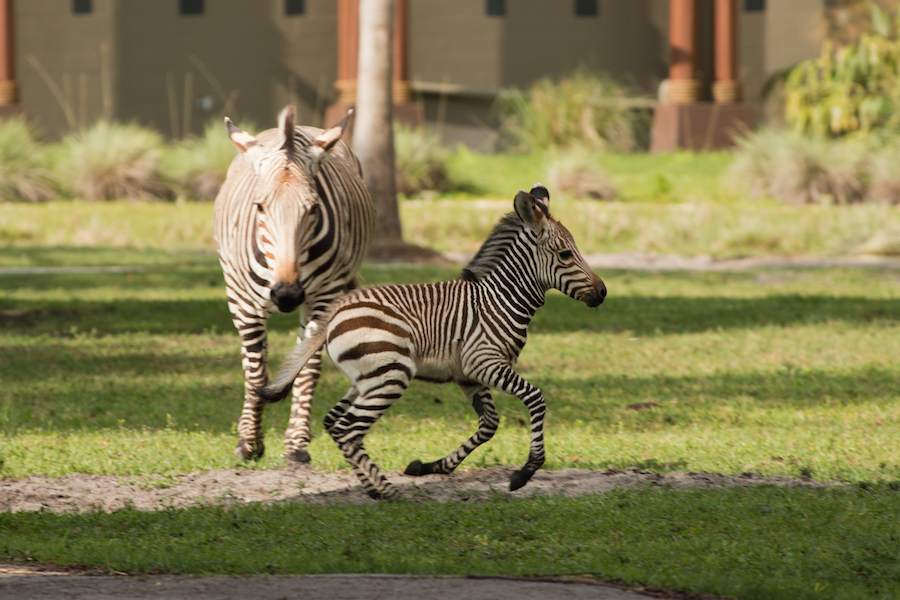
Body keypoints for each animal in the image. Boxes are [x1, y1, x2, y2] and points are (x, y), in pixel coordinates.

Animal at [214, 105, 372, 464]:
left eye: (313, 208)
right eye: (259, 206)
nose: (287, 295)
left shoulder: (324, 298)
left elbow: (308, 368)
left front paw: (297, 444)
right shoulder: (243, 304)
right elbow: (255, 373)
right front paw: (249, 442)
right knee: (249, 361)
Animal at [258, 185, 604, 500]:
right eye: (565, 254)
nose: (602, 292)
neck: (499, 300)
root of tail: (336, 310)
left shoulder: (469, 375)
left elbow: (489, 424)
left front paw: (430, 467)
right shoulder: (485, 363)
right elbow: (535, 398)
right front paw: (525, 472)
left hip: (367, 378)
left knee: (334, 422)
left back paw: (373, 487)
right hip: (391, 375)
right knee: (348, 429)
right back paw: (385, 491)